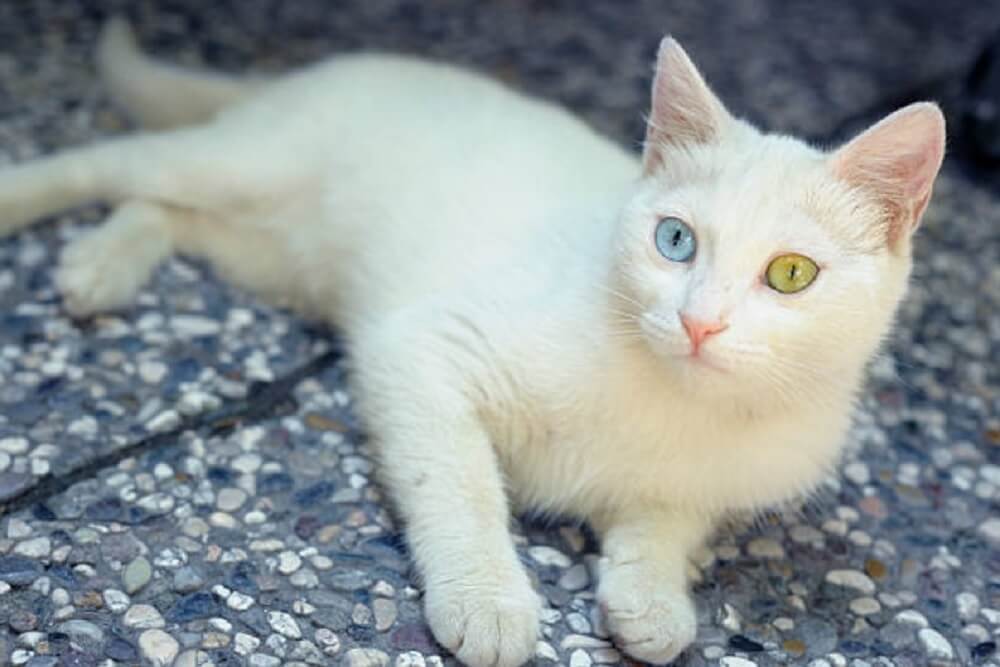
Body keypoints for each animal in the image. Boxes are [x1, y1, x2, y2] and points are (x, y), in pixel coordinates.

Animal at [0, 17, 940, 667]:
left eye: (791, 274)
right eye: (675, 240)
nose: (699, 321)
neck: (673, 397)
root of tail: (331, 69)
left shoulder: (709, 484)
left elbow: (666, 519)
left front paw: (651, 597)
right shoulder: (423, 348)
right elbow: (458, 484)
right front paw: (488, 599)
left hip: (270, 252)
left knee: (166, 209)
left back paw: (101, 265)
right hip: (250, 167)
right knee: (115, 162)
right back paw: (44, 217)